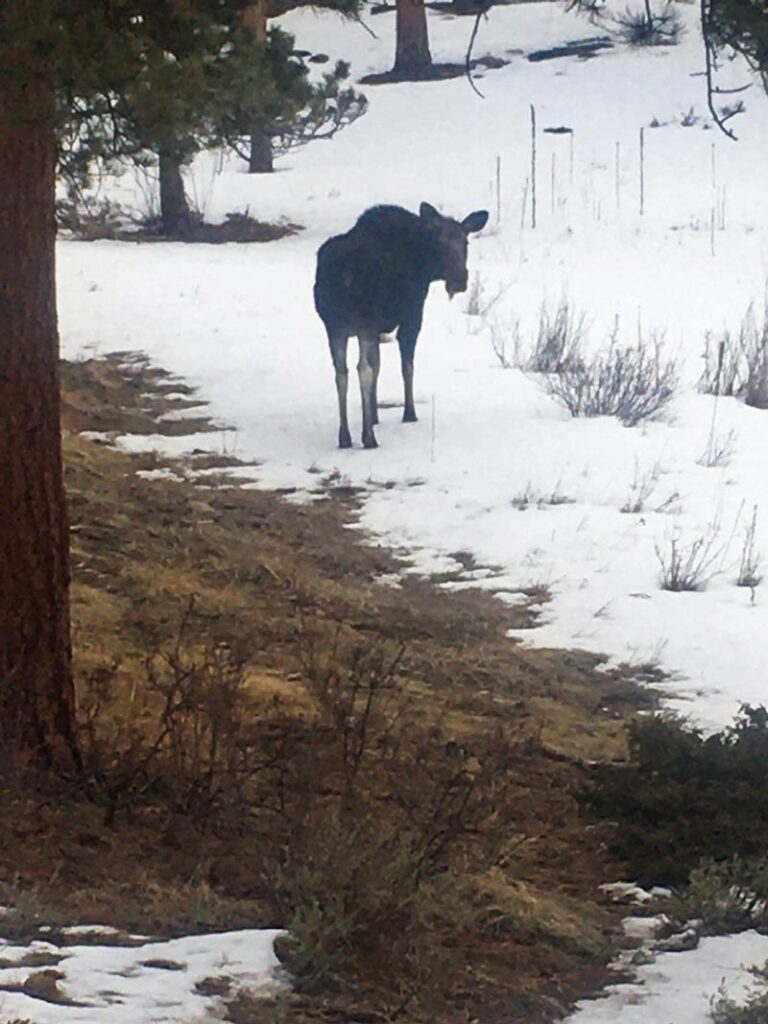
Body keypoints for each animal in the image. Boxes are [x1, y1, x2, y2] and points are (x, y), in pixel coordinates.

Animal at [311, 203, 487, 448]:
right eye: (441, 242)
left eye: (465, 242)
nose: (460, 280)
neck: (426, 268)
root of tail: (345, 272)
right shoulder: (412, 315)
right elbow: (406, 366)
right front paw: (409, 414)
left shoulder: (373, 329)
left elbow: (378, 364)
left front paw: (374, 415)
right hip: (363, 320)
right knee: (362, 369)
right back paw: (368, 438)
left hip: (334, 326)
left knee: (341, 372)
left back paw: (345, 436)